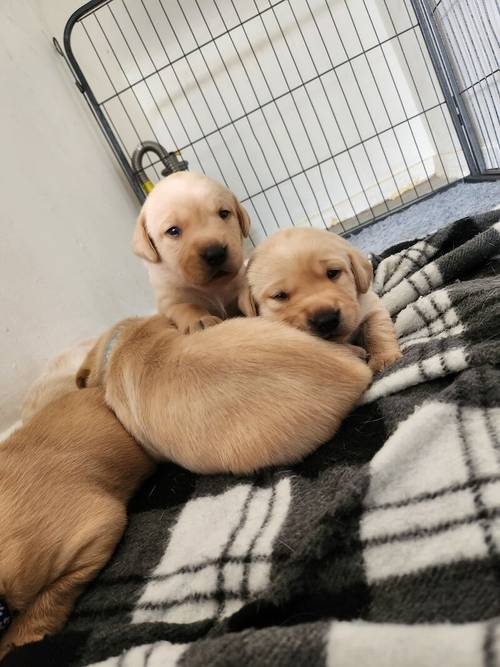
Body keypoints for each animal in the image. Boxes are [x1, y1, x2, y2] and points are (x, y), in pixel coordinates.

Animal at [132, 171, 250, 334]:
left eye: (224, 213)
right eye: (173, 231)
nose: (215, 254)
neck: (214, 288)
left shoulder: (239, 281)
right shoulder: (169, 301)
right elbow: (187, 306)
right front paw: (201, 320)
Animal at [238, 228, 402, 376]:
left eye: (333, 272)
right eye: (279, 295)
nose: (326, 320)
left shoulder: (371, 305)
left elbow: (377, 331)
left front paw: (384, 358)